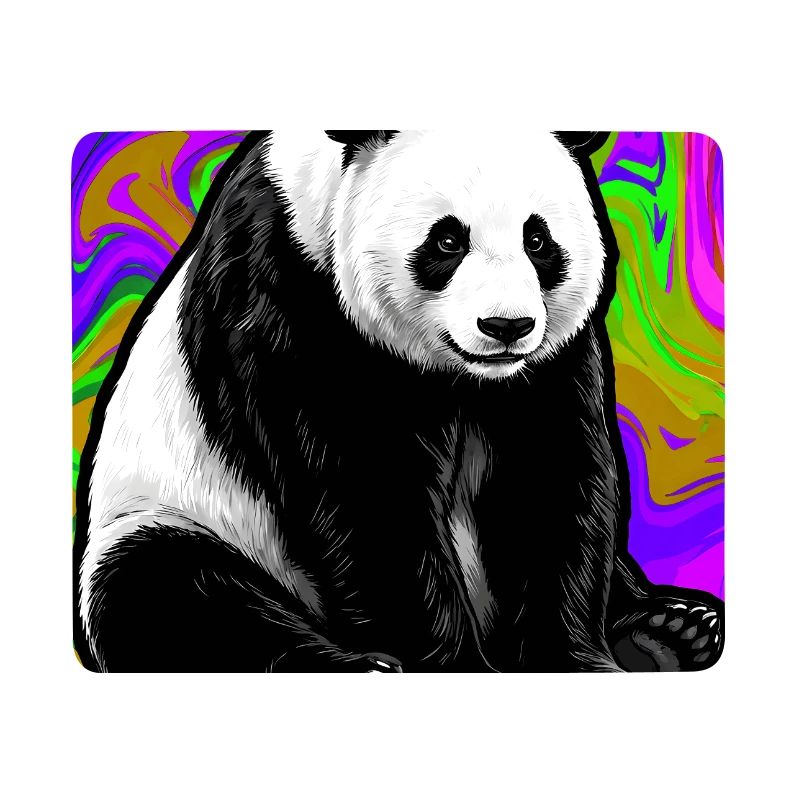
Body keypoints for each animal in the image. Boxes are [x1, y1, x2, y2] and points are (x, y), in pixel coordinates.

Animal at [74, 130, 724, 672]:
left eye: (538, 239)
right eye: (447, 239)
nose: (506, 326)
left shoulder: (547, 364)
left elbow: (548, 479)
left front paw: (569, 659)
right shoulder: (289, 290)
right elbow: (367, 488)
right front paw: (452, 666)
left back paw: (673, 630)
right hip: (173, 514)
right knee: (173, 595)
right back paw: (356, 667)